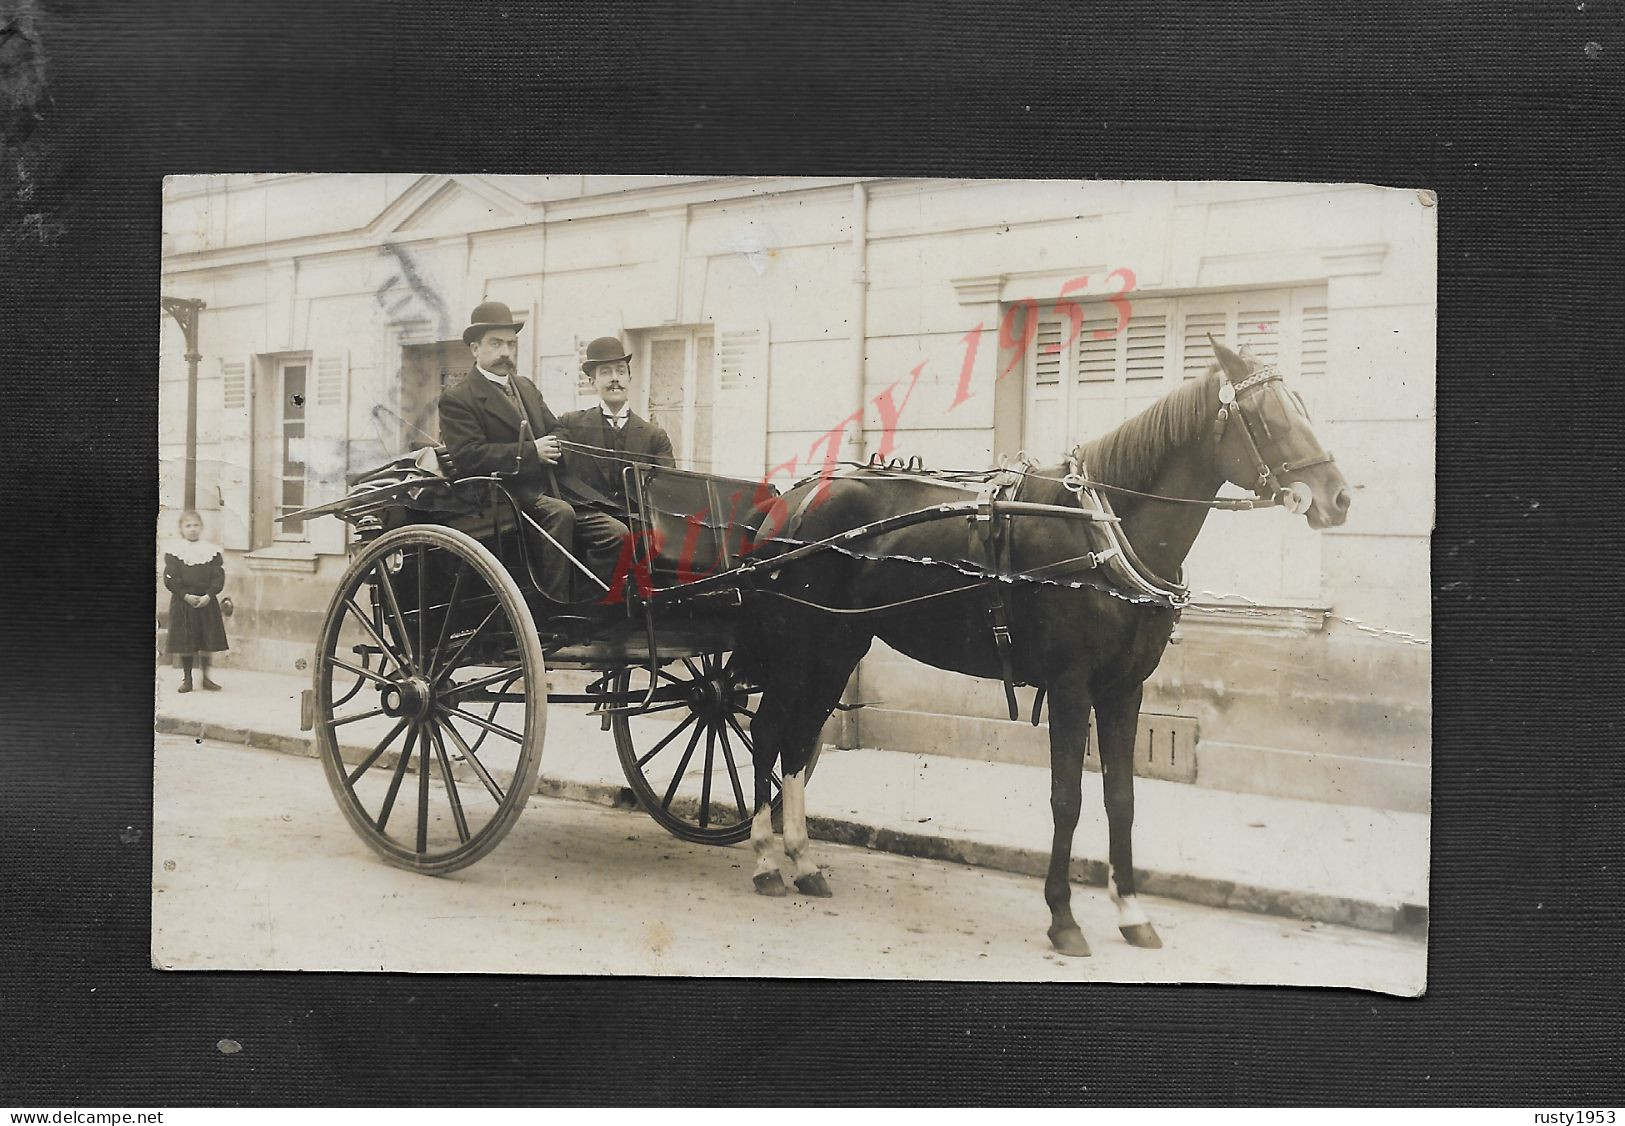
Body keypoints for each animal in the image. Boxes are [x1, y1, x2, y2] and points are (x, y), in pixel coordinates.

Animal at [731, 337, 1352, 955]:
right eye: (1269, 415)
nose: (1340, 498)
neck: (1104, 533)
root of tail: (790, 501)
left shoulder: (1125, 689)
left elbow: (1121, 799)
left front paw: (1130, 911)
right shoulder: (1071, 688)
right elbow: (1067, 798)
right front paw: (1063, 915)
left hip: (838, 647)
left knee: (799, 738)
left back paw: (803, 860)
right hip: (795, 646)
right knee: (770, 733)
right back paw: (765, 860)